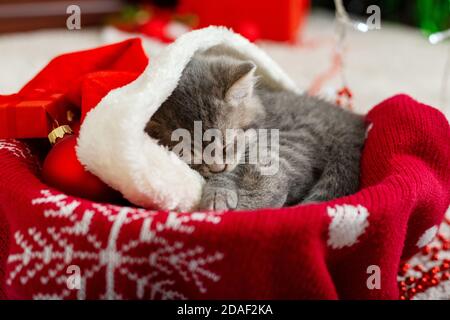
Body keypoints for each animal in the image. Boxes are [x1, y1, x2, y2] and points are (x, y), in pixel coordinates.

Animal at [146, 48, 368, 211]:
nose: (218, 167)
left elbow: (233, 172)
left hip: (292, 138)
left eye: (227, 144)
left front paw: (218, 195)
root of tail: (350, 124)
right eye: (192, 154)